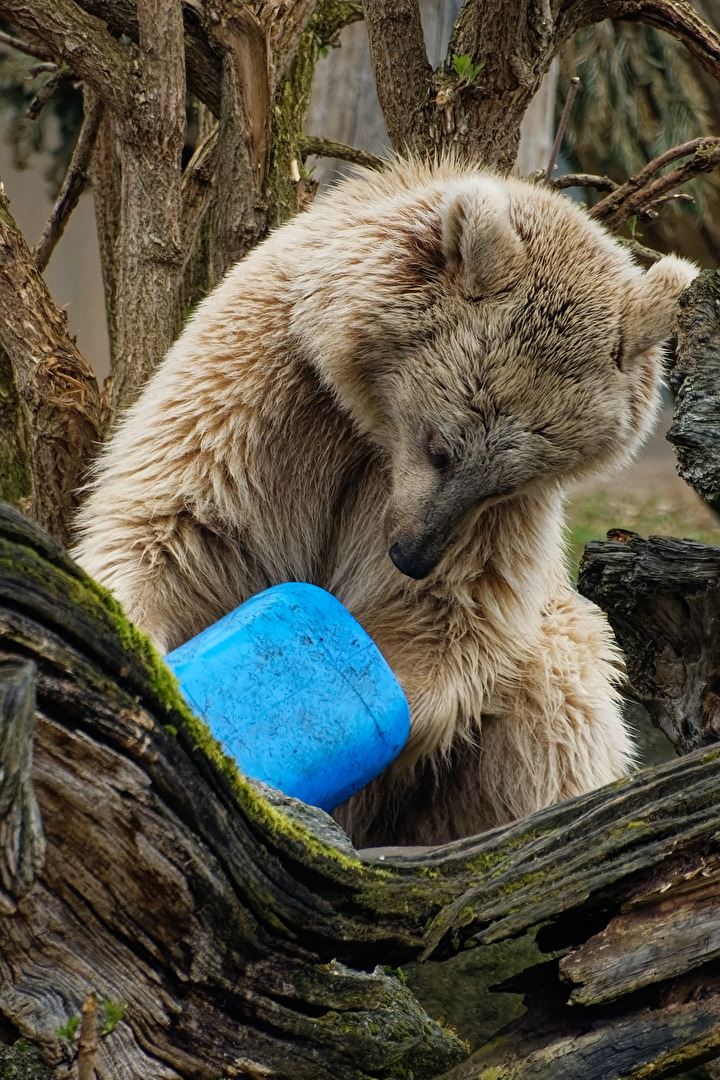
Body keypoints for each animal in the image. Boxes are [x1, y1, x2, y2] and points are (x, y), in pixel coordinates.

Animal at [71, 159, 690, 851]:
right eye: (441, 446)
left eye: (507, 483)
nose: (413, 554)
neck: (371, 419)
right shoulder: (270, 389)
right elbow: (180, 523)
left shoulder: (493, 527)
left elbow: (447, 621)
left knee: (555, 703)